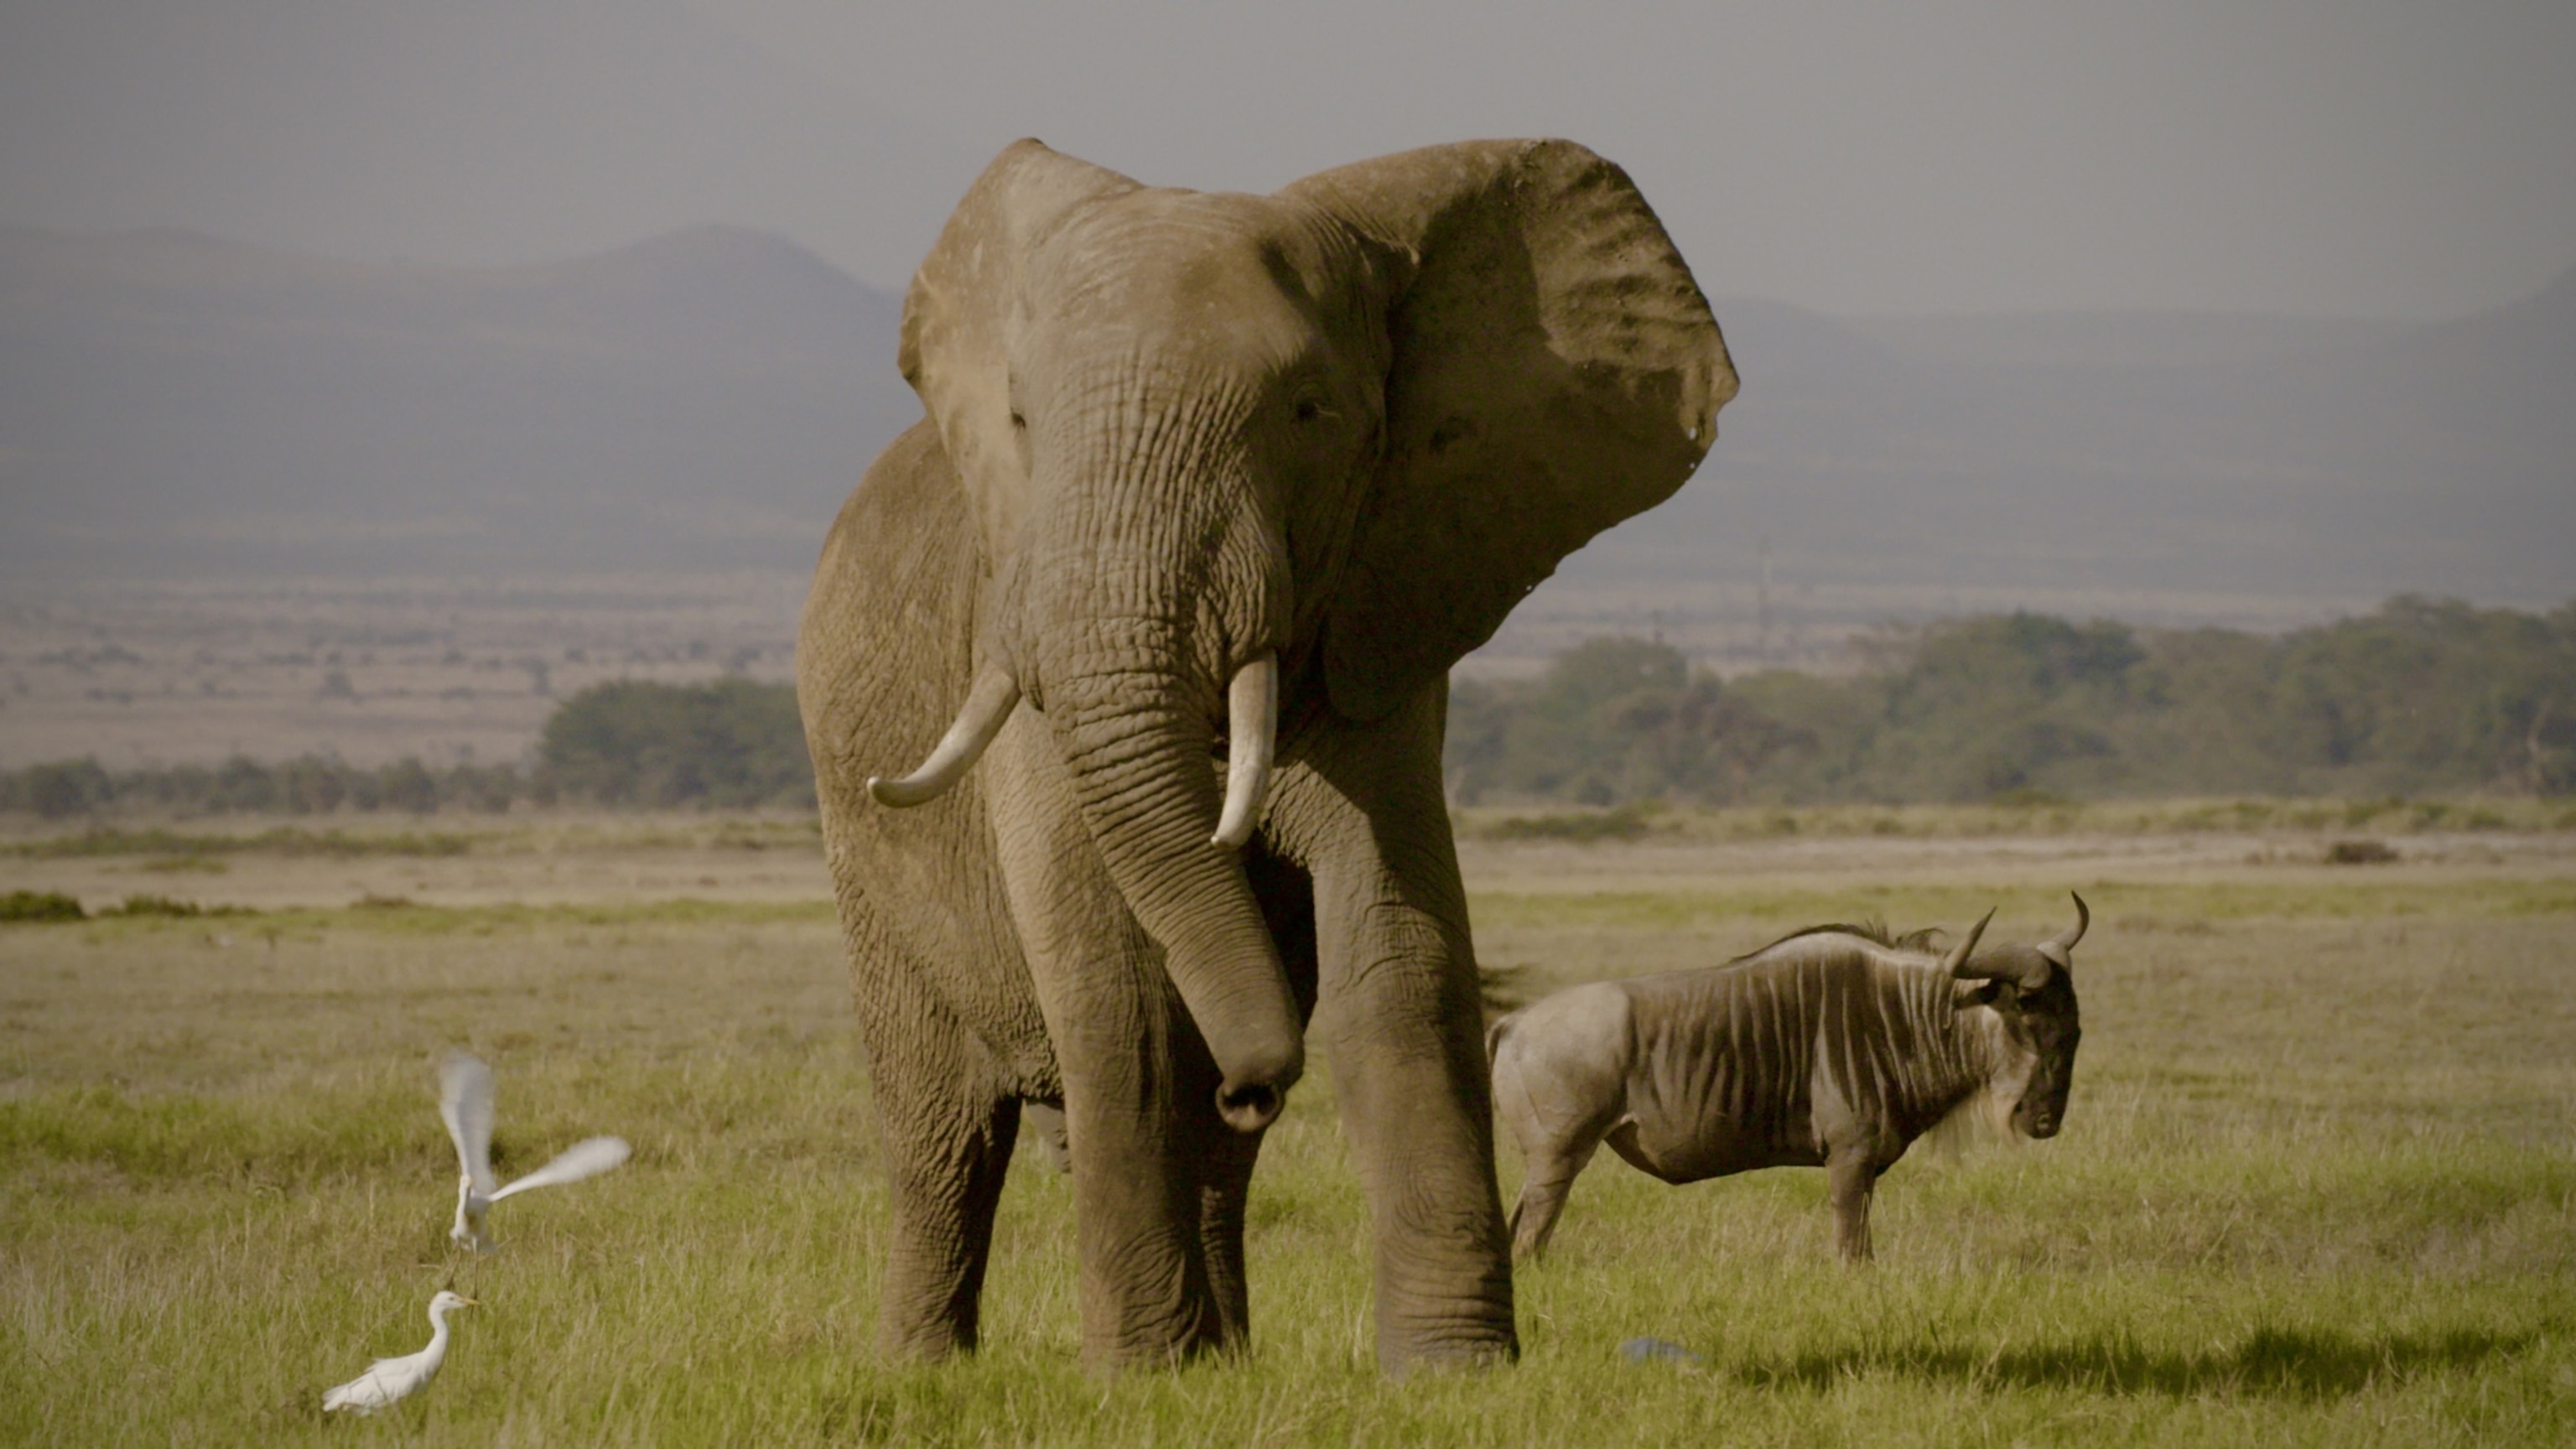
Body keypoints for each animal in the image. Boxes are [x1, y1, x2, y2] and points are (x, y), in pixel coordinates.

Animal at [797, 137, 1736, 1373]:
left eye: (1308, 411)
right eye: (1021, 420)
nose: (1258, 1080)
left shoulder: (1388, 613)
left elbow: (1400, 953)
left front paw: (1452, 1372)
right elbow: (1117, 993)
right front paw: (1136, 1378)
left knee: (1210, 1151)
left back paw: (1224, 1355)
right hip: (858, 838)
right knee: (939, 1130)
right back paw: (929, 1365)